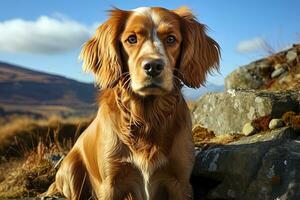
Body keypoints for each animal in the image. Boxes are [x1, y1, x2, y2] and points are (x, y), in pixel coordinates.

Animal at [44, 6, 220, 200]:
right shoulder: (111, 183)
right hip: (71, 169)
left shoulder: (180, 182)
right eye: (132, 39)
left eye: (171, 39)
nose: (153, 66)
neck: (147, 118)